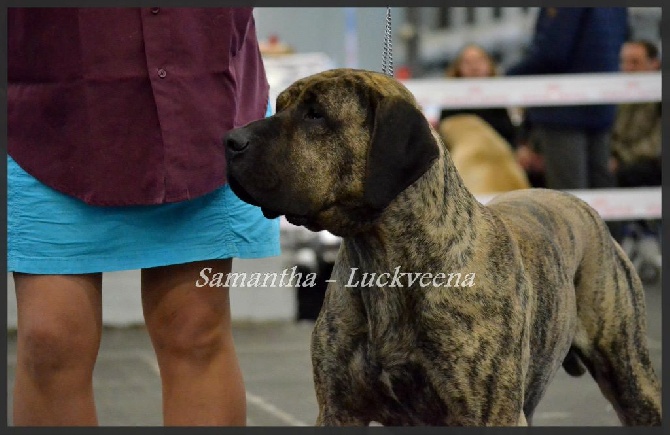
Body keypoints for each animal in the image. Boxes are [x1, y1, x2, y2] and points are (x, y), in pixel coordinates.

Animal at [224, 68, 660, 426]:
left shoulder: (490, 413)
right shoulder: (339, 408)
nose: (231, 139)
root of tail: (576, 201)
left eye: (316, 114)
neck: (387, 263)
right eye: (279, 105)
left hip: (630, 373)